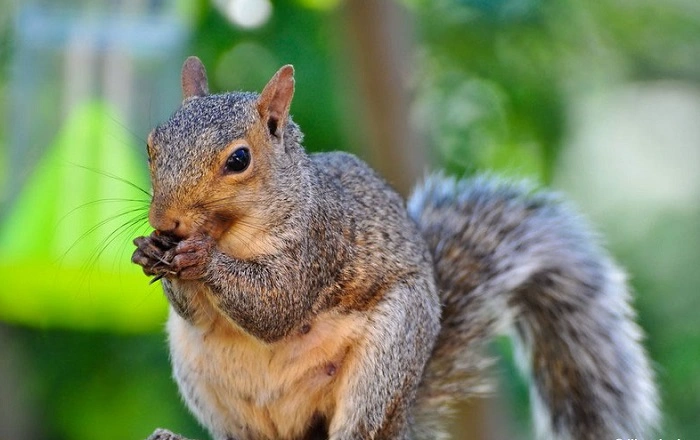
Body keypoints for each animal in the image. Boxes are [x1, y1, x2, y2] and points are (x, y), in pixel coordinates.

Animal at [131, 56, 659, 440]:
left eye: (239, 159)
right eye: (152, 145)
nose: (164, 221)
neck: (235, 229)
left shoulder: (320, 243)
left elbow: (278, 305)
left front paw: (200, 258)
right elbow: (197, 314)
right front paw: (152, 252)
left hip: (384, 365)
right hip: (205, 381)